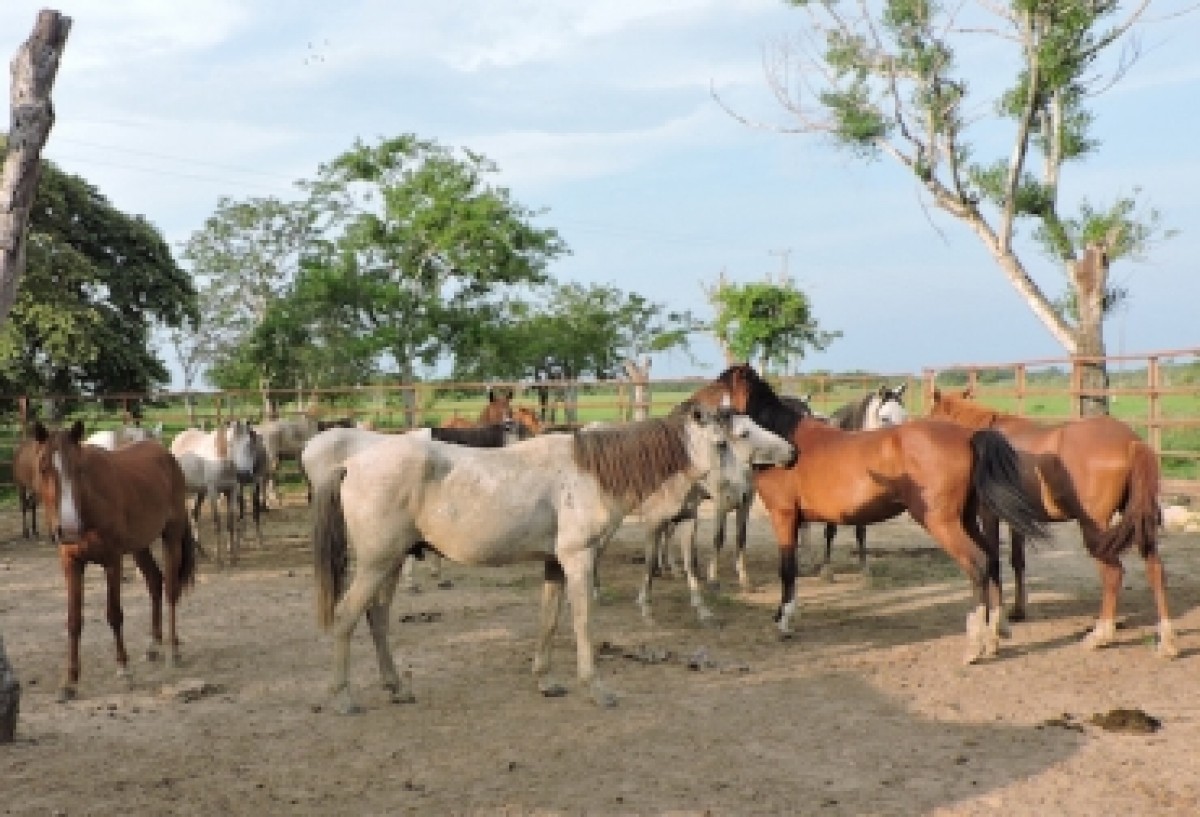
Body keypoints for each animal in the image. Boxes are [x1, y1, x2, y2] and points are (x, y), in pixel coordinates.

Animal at [30, 420, 198, 702]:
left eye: (78, 469)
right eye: (43, 468)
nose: (69, 529)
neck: (89, 503)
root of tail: (166, 454)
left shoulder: (112, 561)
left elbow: (114, 614)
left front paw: (123, 669)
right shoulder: (71, 564)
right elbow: (73, 621)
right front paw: (70, 682)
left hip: (171, 537)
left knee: (170, 591)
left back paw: (173, 650)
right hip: (140, 547)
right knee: (155, 582)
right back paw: (154, 646)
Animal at [170, 420, 260, 566]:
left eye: (249, 443)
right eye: (230, 443)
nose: (244, 475)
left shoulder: (232, 491)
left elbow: (230, 523)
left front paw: (233, 557)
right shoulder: (213, 491)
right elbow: (217, 522)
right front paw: (219, 559)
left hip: (199, 491)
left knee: (195, 513)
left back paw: (200, 551)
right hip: (185, 491)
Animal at [312, 405, 742, 713]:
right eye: (721, 444)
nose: (739, 493)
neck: (589, 473)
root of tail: (350, 464)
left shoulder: (555, 565)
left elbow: (549, 620)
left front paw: (546, 681)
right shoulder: (578, 560)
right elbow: (582, 622)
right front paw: (596, 689)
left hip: (391, 563)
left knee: (377, 616)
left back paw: (397, 687)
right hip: (376, 564)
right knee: (347, 616)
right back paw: (342, 697)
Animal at [818, 383, 909, 580]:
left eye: (905, 417)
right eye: (884, 418)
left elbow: (861, 531)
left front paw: (864, 569)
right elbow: (830, 530)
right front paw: (826, 569)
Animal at [927, 388, 1178, 657]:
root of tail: (1131, 441)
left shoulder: (989, 515)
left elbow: (993, 562)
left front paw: (995, 629)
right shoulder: (1017, 521)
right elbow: (1017, 560)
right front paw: (1017, 611)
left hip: (1095, 528)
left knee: (1113, 573)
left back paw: (1100, 635)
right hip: (1139, 522)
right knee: (1155, 569)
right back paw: (1167, 640)